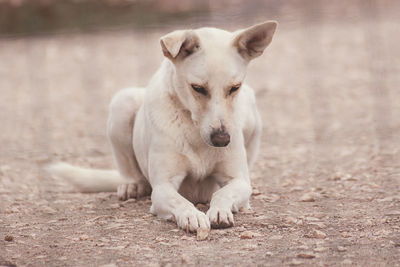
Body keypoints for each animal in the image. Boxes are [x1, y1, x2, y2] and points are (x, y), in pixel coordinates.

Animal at [47, 21, 276, 232]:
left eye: (234, 87)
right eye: (198, 88)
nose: (222, 140)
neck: (194, 130)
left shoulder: (239, 181)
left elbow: (223, 192)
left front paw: (219, 210)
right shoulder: (162, 187)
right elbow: (180, 201)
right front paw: (192, 215)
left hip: (251, 108)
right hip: (123, 102)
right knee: (131, 172)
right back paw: (132, 185)